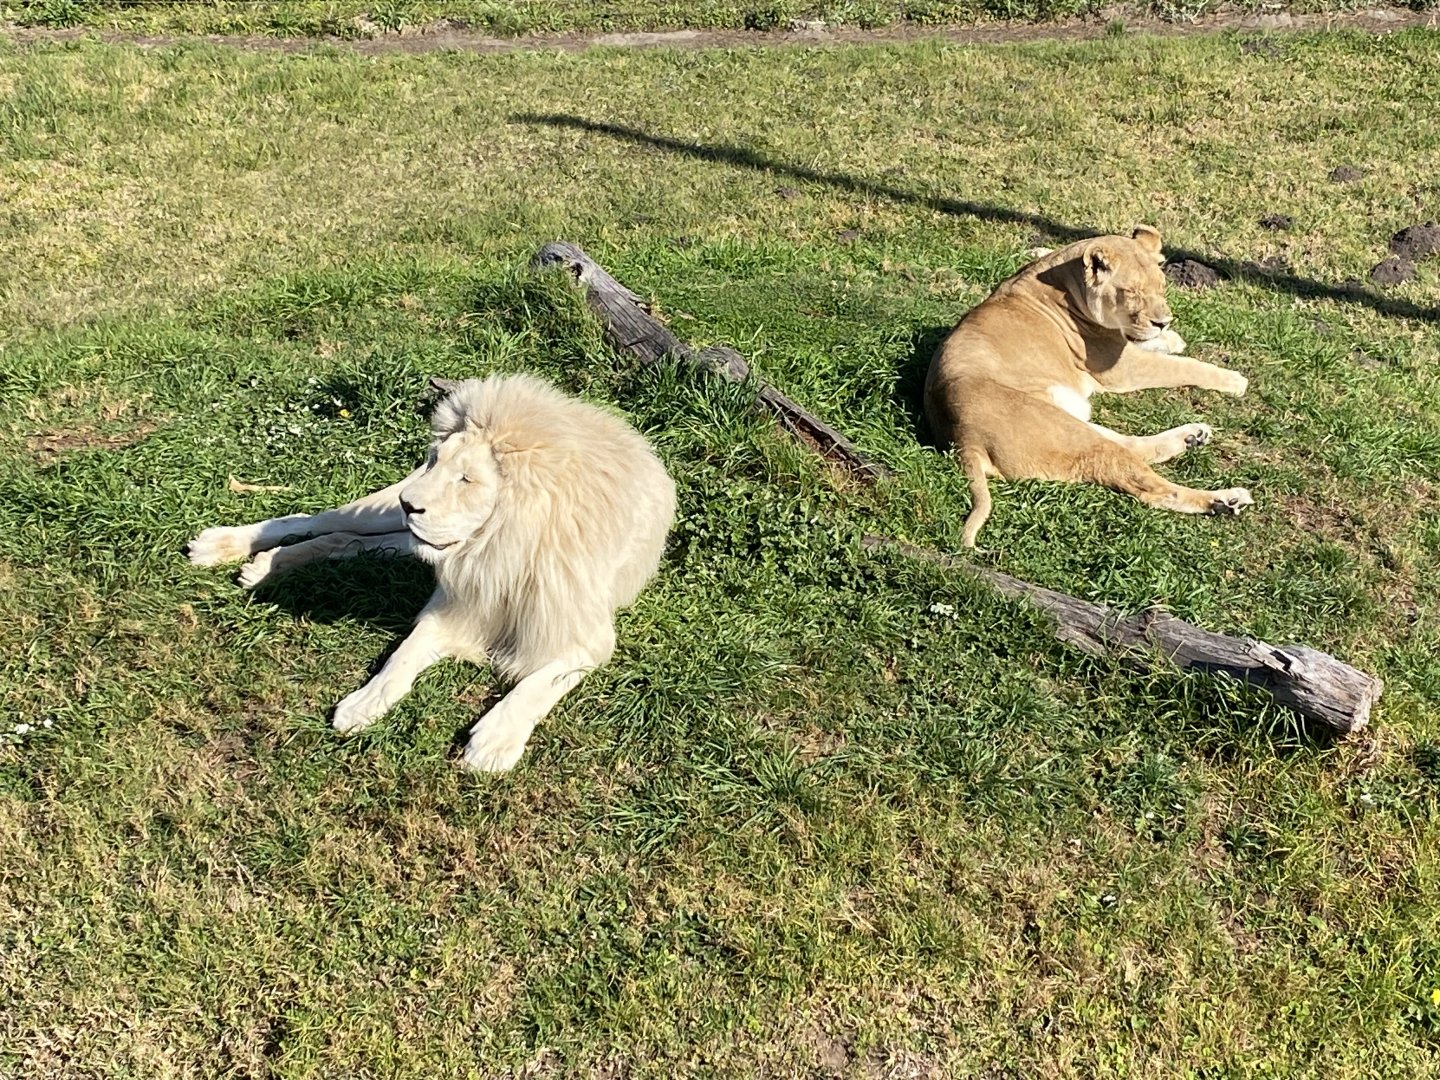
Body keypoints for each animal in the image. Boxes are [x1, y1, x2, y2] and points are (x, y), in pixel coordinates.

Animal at [186, 373, 676, 772]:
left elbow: (537, 686)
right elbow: (404, 654)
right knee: (320, 518)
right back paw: (222, 546)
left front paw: (495, 741)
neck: (500, 552)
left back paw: (264, 566)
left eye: (467, 479)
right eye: (436, 460)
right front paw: (365, 702)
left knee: (344, 540)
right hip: (382, 510)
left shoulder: (586, 638)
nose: (410, 505)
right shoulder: (456, 605)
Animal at [924, 225, 1252, 548]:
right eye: (1131, 293)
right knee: (1151, 487)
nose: (1164, 321)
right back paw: (1225, 499)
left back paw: (1193, 436)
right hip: (1068, 433)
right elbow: (1184, 366)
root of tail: (963, 439)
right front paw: (1234, 379)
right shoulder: (1120, 368)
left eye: (1162, 287)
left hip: (1075, 427)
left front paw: (1171, 339)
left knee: (1131, 446)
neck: (1063, 279)